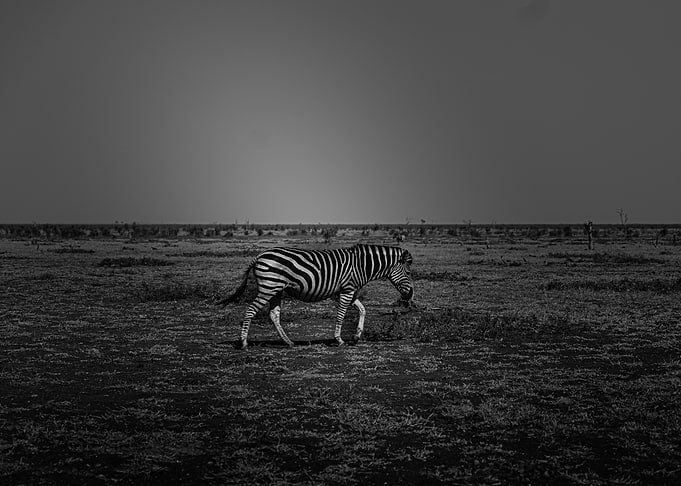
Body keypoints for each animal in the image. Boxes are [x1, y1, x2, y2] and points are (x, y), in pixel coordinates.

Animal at [217, 244, 414, 349]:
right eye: (409, 272)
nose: (411, 294)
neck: (361, 265)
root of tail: (259, 256)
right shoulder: (347, 289)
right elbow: (341, 315)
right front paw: (339, 339)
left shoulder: (349, 291)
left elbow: (363, 310)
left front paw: (357, 336)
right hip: (269, 287)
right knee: (250, 311)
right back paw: (244, 343)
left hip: (276, 289)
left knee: (273, 314)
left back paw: (289, 342)